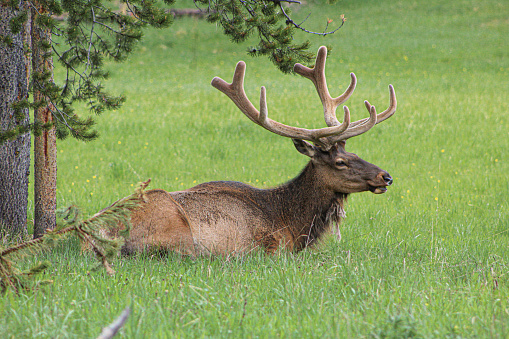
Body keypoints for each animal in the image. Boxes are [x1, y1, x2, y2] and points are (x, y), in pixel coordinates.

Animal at [110, 46, 396, 256]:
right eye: (340, 162)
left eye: (355, 155)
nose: (386, 176)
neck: (291, 222)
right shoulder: (273, 249)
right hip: (178, 233)